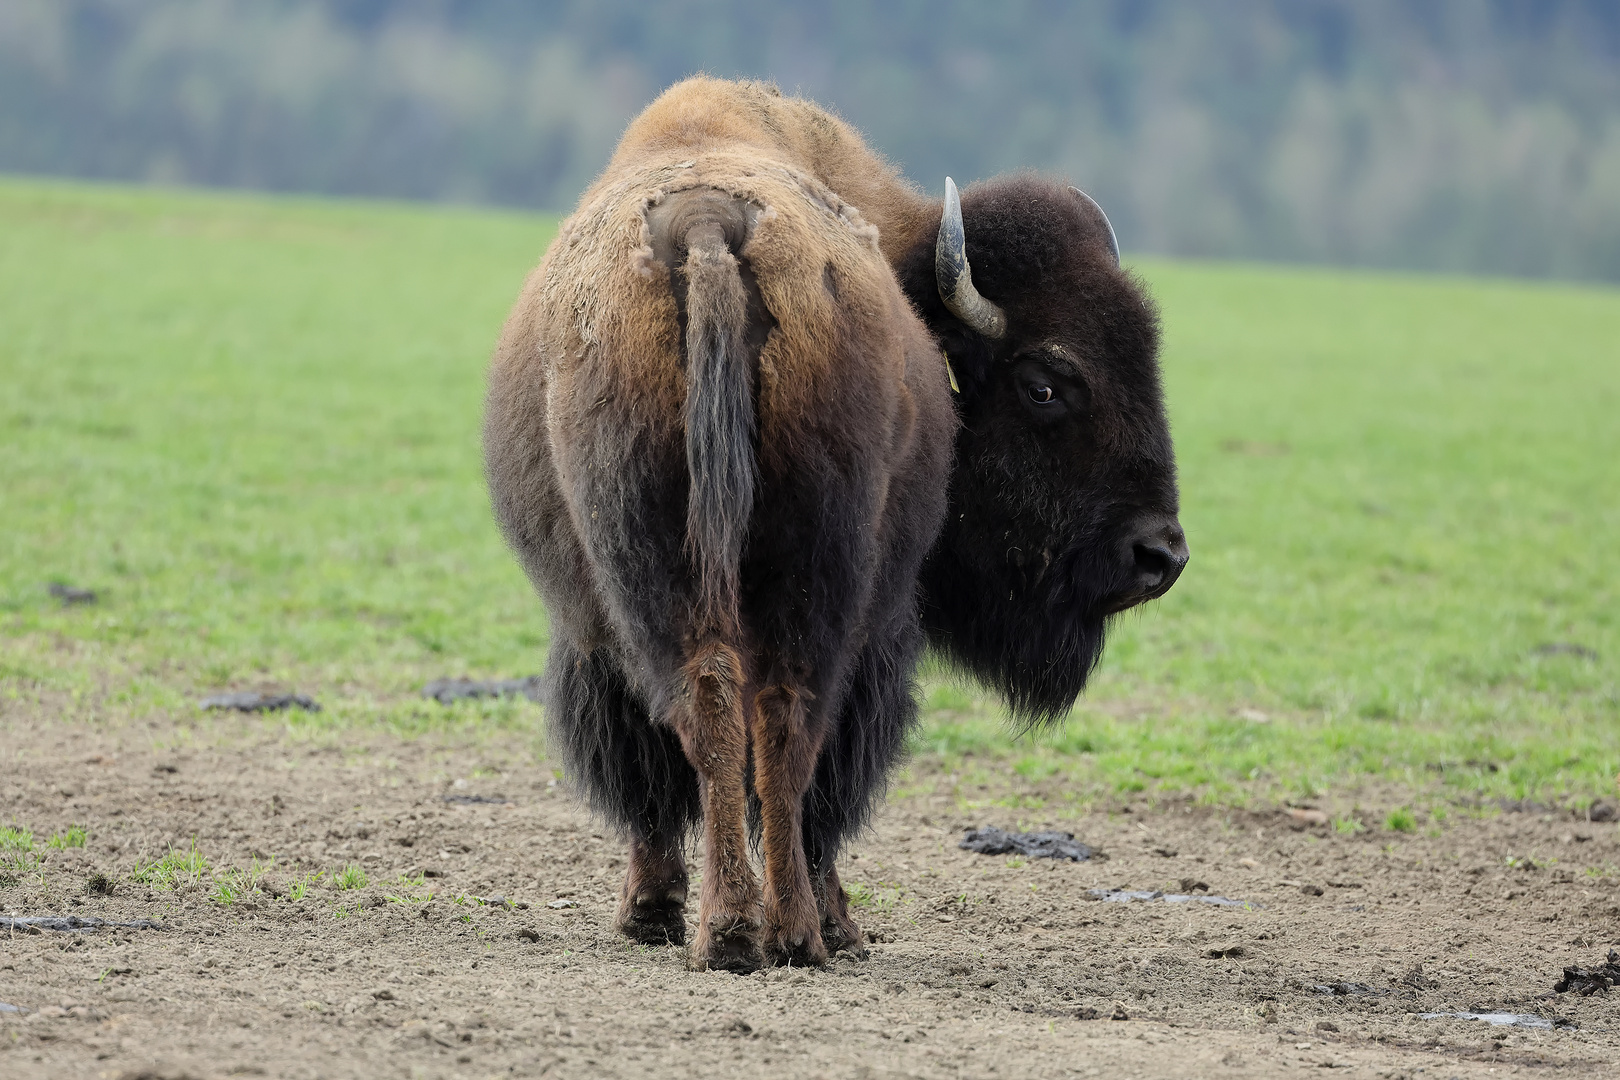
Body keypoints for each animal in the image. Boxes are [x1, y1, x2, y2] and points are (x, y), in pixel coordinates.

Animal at [486, 76, 1185, 971]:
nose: (1158, 553)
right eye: (1044, 385)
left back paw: (734, 930)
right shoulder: (880, 630)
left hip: (673, 579)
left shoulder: (591, 626)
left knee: (720, 711)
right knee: (785, 730)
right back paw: (798, 932)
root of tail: (710, 223)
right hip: (823, 595)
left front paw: (654, 911)